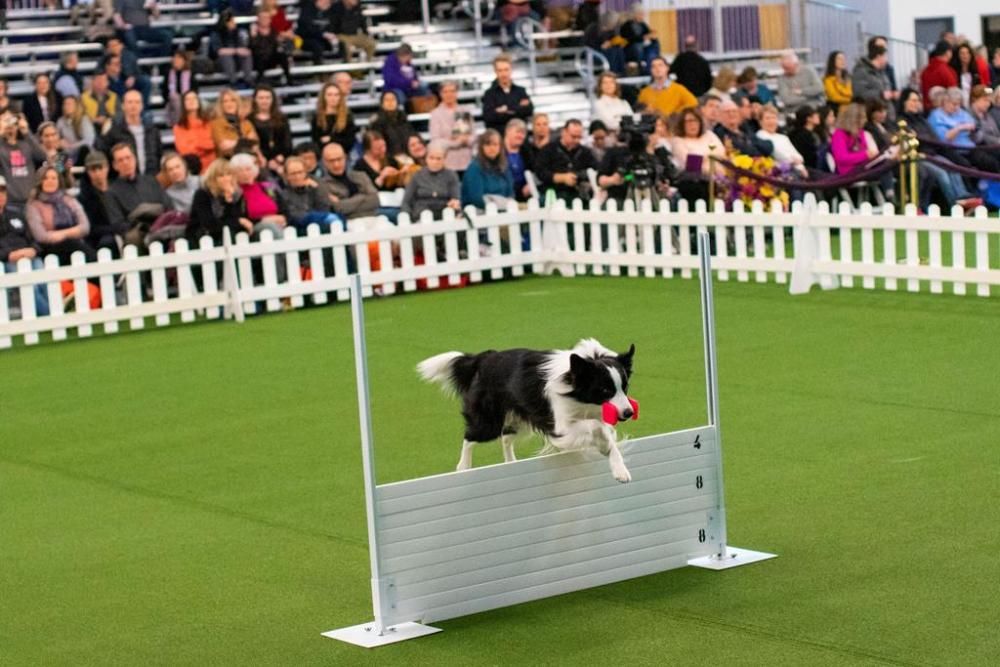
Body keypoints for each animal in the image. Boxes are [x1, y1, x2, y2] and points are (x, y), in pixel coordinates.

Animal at [416, 342, 636, 482]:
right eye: (605, 390)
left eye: (624, 388)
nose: (628, 412)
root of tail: (485, 357)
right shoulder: (559, 425)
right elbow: (595, 426)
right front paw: (603, 442)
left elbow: (605, 434)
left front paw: (620, 470)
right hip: (489, 422)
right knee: (470, 436)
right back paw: (463, 467)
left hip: (518, 418)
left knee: (506, 437)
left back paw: (510, 463)